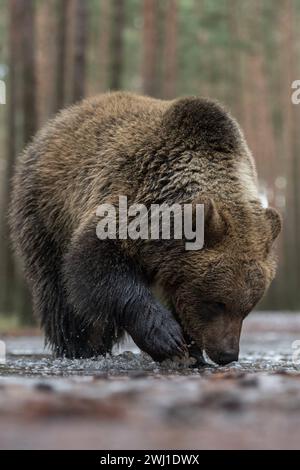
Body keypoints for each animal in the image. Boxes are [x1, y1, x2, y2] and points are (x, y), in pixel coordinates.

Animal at [9, 91, 282, 364]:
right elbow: (95, 267)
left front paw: (191, 351)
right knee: (57, 291)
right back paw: (79, 346)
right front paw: (168, 338)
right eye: (217, 303)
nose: (228, 354)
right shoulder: (125, 204)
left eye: (247, 308)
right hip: (47, 211)